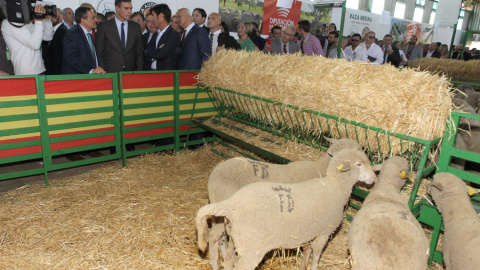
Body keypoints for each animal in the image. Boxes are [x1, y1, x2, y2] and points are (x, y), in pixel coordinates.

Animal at [197, 148, 376, 270]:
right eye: (359, 164)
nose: (374, 178)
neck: (335, 187)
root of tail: (232, 204)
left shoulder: (310, 232)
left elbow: (307, 251)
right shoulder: (324, 232)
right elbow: (317, 255)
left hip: (238, 241)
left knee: (227, 261)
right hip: (251, 248)